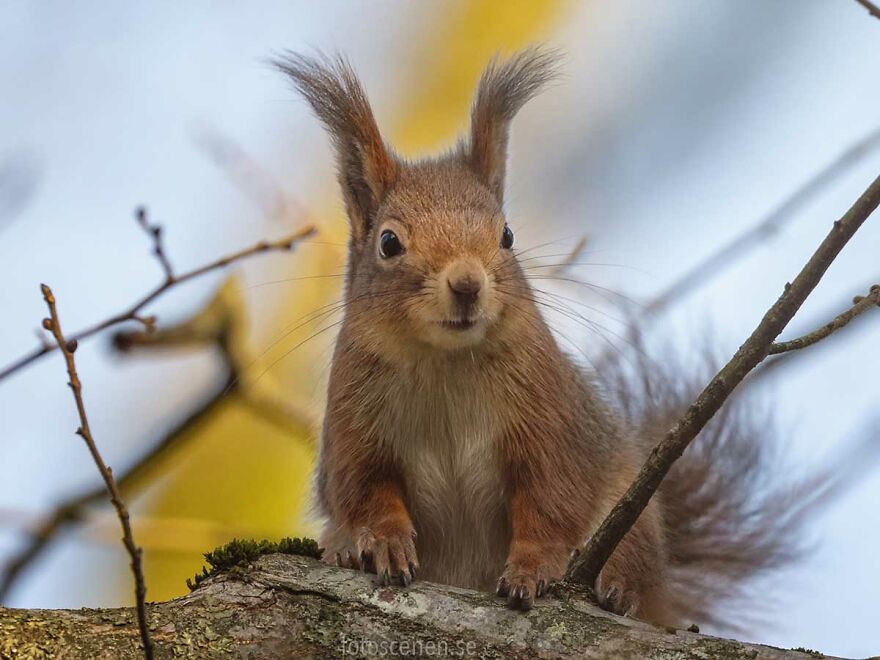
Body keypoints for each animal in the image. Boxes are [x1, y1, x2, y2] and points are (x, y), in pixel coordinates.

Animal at [274, 48, 832, 628]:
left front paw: (532, 568)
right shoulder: (353, 425)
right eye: (388, 243)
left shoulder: (549, 421)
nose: (467, 284)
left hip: (632, 521)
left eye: (506, 235)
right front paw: (382, 543)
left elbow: (549, 502)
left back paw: (620, 593)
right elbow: (363, 492)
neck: (445, 362)